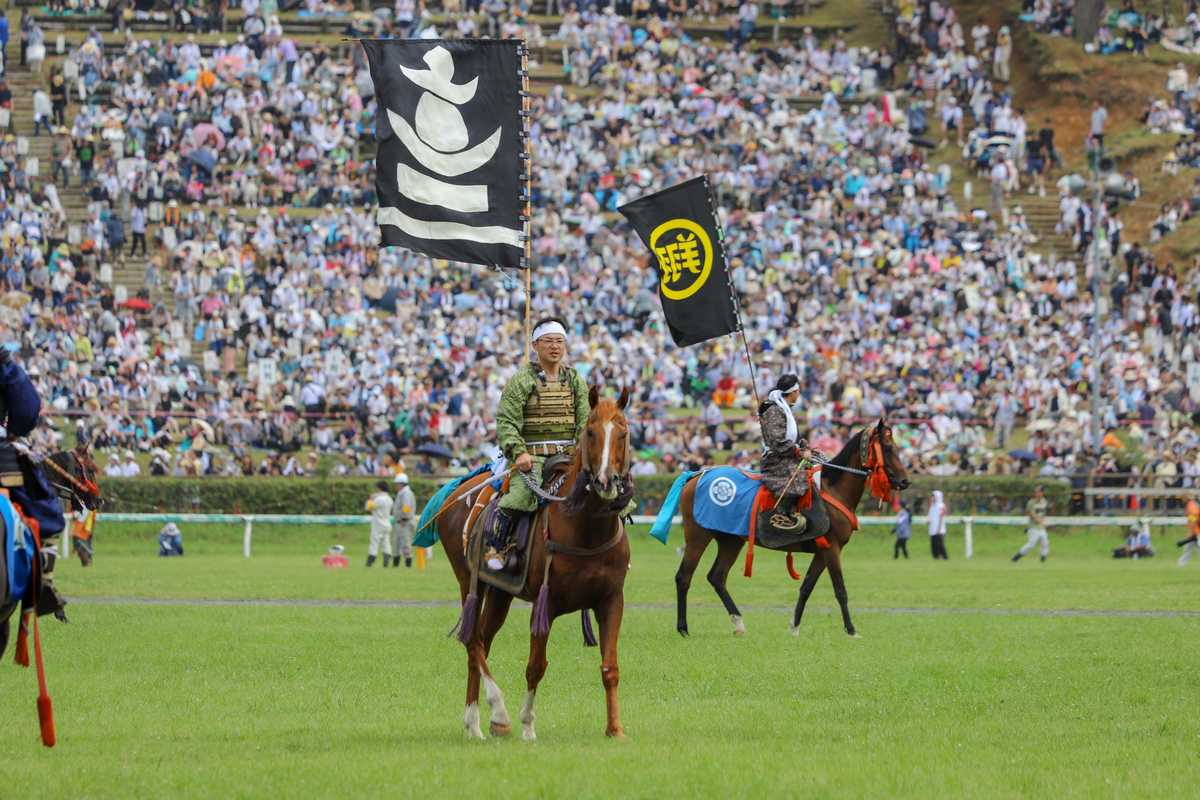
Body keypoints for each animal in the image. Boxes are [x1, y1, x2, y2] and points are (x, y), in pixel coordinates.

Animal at [436, 383, 633, 743]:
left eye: (623, 433)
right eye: (591, 431)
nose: (605, 481)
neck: (585, 528)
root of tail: (457, 492)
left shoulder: (611, 600)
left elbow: (610, 668)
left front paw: (615, 728)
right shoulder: (547, 602)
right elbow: (536, 666)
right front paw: (527, 725)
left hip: (500, 594)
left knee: (481, 641)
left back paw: (474, 723)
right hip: (470, 582)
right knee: (473, 640)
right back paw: (497, 714)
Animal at [676, 419, 907, 638]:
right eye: (887, 447)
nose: (905, 481)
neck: (833, 490)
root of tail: (696, 475)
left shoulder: (823, 551)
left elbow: (806, 587)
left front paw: (794, 627)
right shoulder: (832, 549)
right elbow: (840, 589)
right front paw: (851, 630)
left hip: (730, 541)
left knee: (717, 577)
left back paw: (738, 623)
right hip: (697, 537)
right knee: (684, 577)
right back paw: (683, 628)